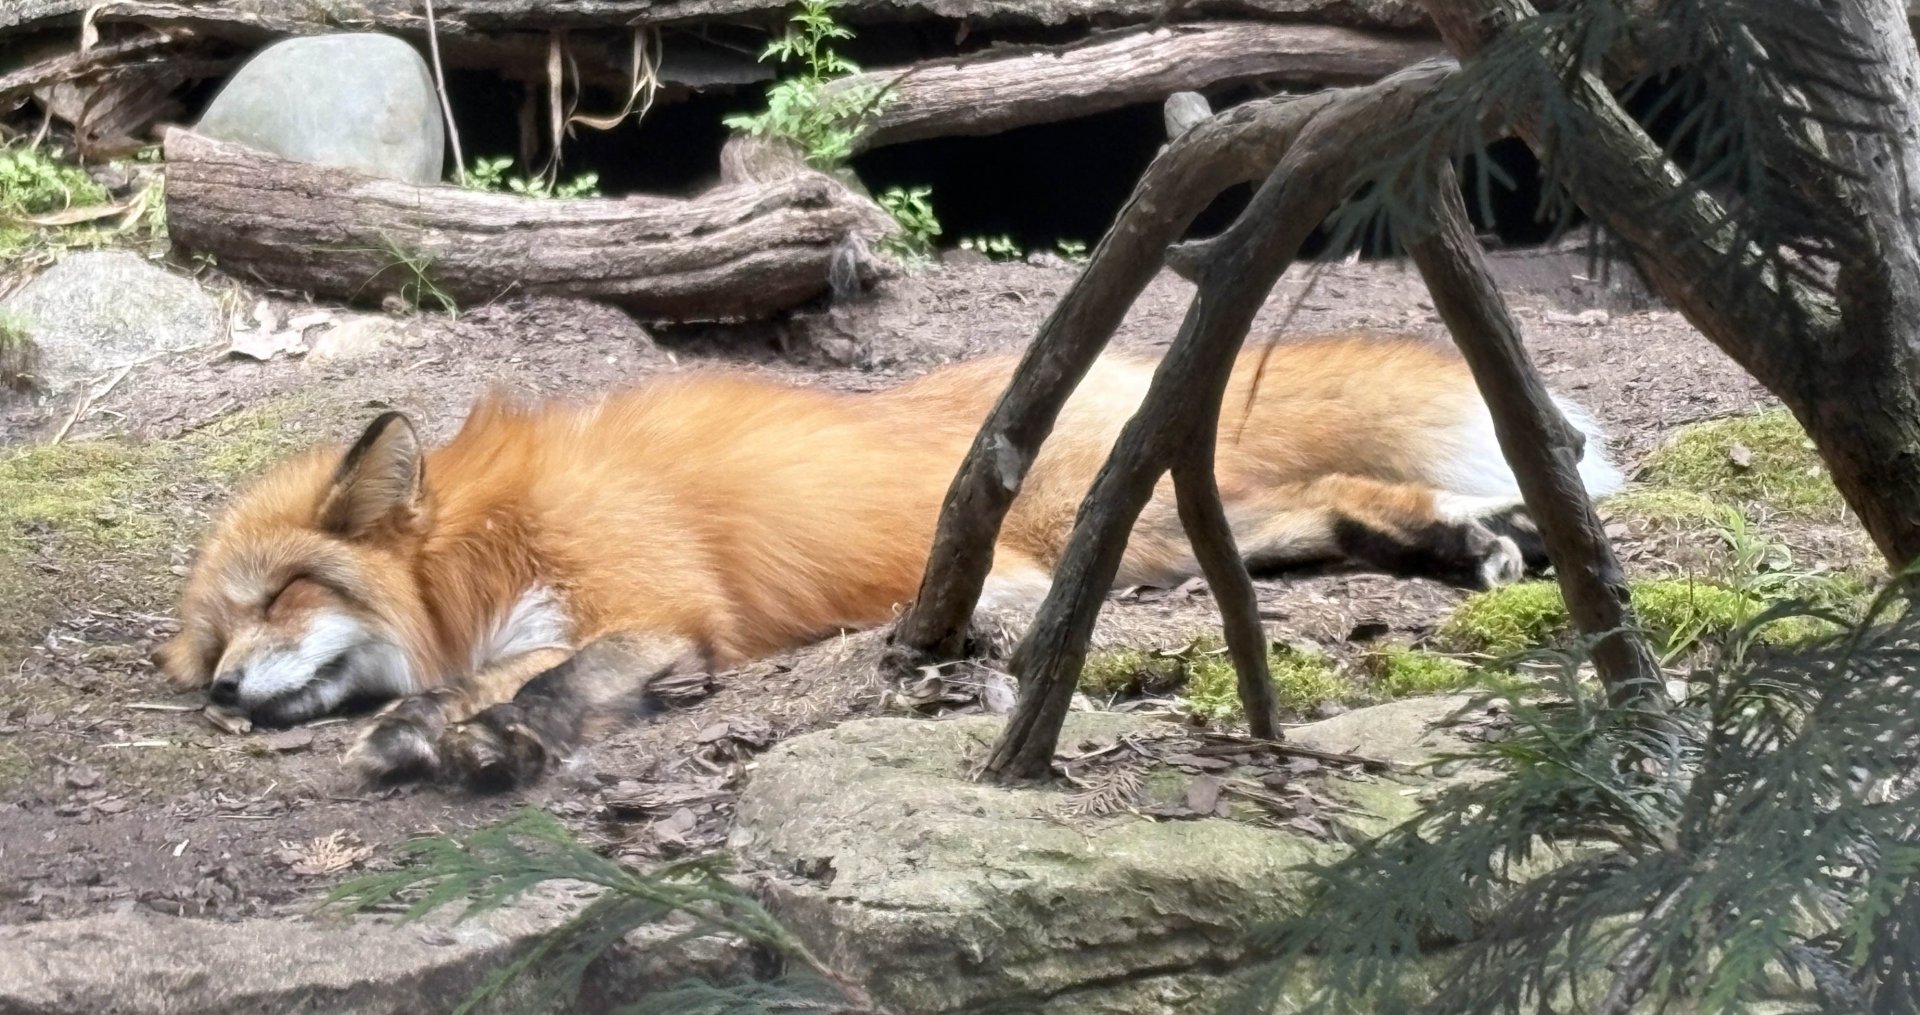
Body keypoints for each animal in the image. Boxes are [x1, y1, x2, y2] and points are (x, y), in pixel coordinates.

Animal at [153, 331, 1624, 792]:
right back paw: (1473, 530)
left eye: (283, 594)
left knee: (1318, 497)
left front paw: (492, 739)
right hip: (1139, 545)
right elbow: (475, 684)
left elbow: (557, 686)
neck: (481, 547)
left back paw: (1491, 526)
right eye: (212, 641)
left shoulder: (657, 608)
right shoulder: (539, 622)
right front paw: (426, 727)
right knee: (1305, 512)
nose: (221, 690)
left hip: (1108, 529)